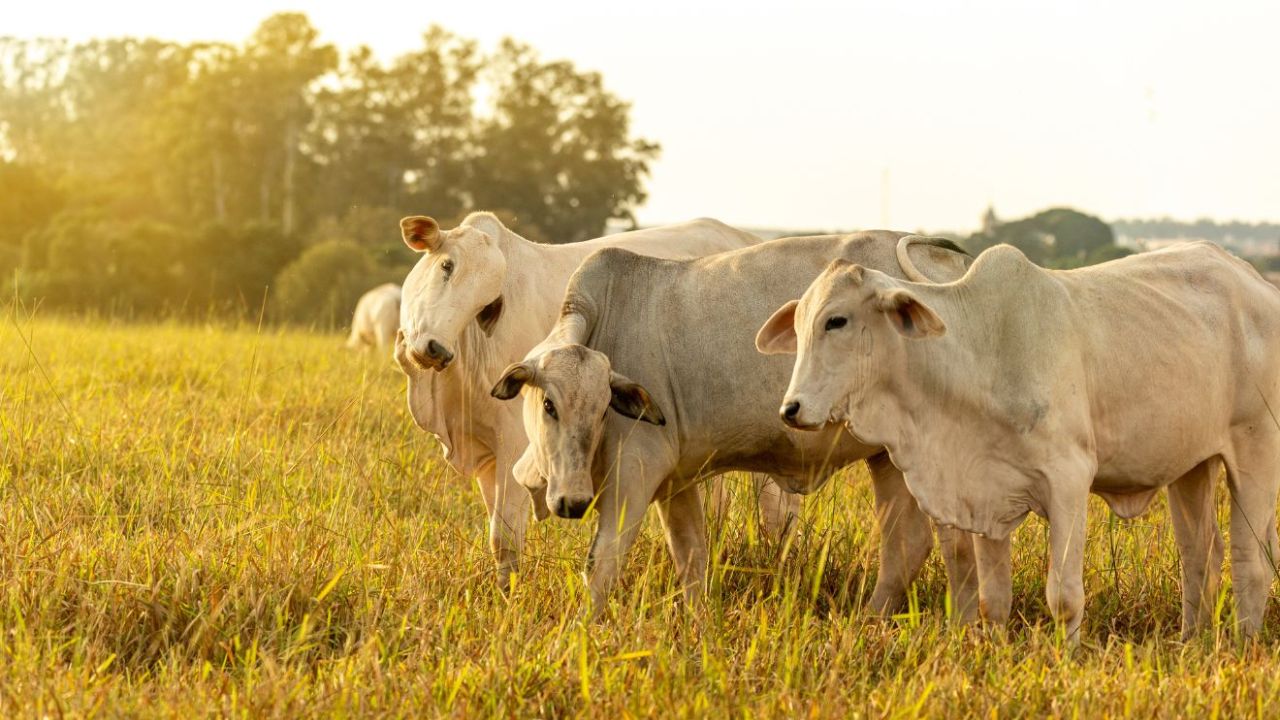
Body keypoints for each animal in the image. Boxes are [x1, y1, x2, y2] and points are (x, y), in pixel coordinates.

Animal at [393, 212, 796, 590]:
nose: (436, 349)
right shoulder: (484, 457)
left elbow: (505, 536)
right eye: (447, 266)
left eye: (487, 303)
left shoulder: (514, 445)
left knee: (777, 508)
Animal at [490, 232, 980, 619]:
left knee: (959, 544)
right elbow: (691, 558)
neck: (605, 320)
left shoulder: (635, 470)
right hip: (888, 458)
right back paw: (871, 621)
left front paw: (580, 632)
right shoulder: (676, 483)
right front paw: (697, 624)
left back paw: (963, 628)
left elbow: (602, 560)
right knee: (907, 544)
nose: (572, 502)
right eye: (549, 404)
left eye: (602, 406)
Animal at [761, 239, 1280, 641]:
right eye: (801, 323)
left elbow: (1064, 595)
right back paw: (1192, 641)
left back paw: (1242, 645)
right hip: (1192, 466)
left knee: (1248, 561)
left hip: (1256, 451)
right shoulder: (984, 495)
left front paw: (1068, 659)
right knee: (1201, 558)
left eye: (837, 321)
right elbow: (993, 600)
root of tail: (1257, 281)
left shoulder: (1069, 481)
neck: (980, 351)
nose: (791, 409)